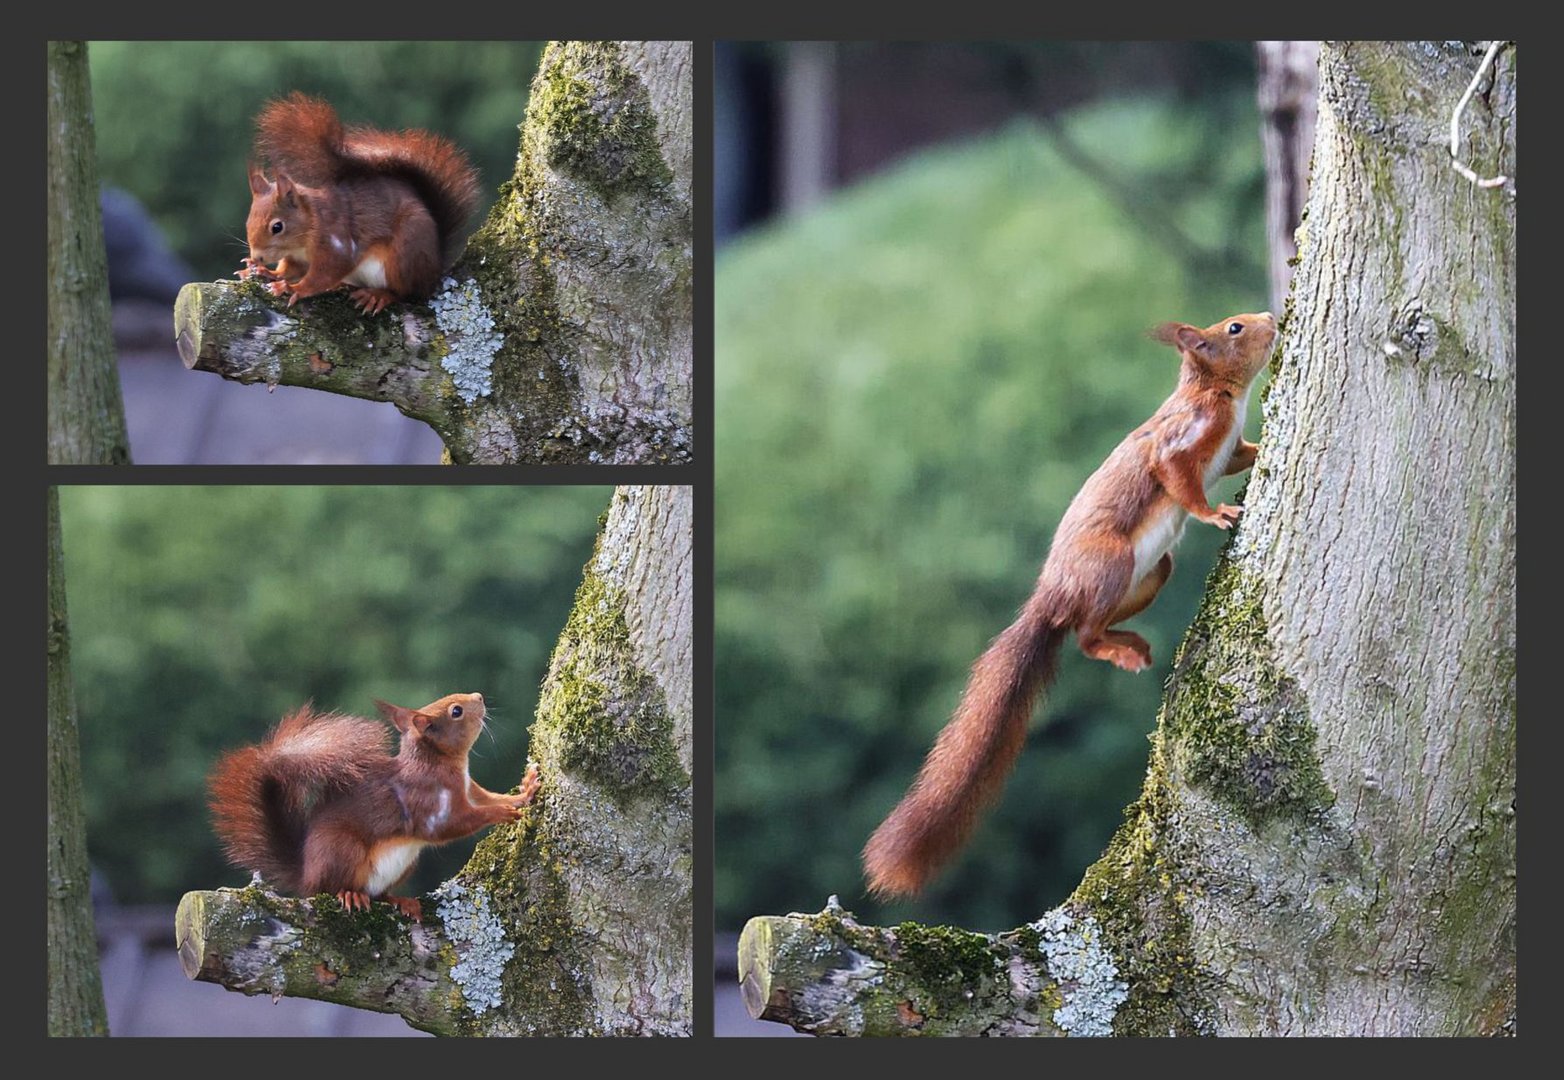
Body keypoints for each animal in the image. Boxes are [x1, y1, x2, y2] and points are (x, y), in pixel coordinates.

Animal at [208, 693, 541, 919]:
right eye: (455, 711)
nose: (479, 697)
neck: (438, 763)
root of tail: (305, 874)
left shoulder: (469, 789)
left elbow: (490, 797)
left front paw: (524, 791)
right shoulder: (427, 805)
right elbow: (452, 826)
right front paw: (502, 813)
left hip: (404, 864)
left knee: (379, 894)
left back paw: (399, 900)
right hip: (341, 851)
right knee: (329, 888)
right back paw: (349, 894)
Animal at [234, 94, 478, 314]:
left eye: (277, 227)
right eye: (248, 222)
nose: (258, 257)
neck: (309, 226)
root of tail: (434, 270)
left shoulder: (337, 244)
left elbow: (325, 273)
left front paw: (292, 288)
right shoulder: (297, 257)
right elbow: (290, 268)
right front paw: (265, 272)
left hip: (405, 255)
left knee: (405, 292)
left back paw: (378, 295)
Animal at [863, 311, 1276, 894]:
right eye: (1235, 328)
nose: (1270, 319)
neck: (1217, 393)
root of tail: (1053, 595)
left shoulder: (1229, 443)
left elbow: (1244, 455)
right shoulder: (1182, 439)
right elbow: (1178, 480)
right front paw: (1215, 513)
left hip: (1151, 574)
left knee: (1088, 626)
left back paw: (1130, 641)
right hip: (1111, 563)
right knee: (1082, 637)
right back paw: (1119, 649)